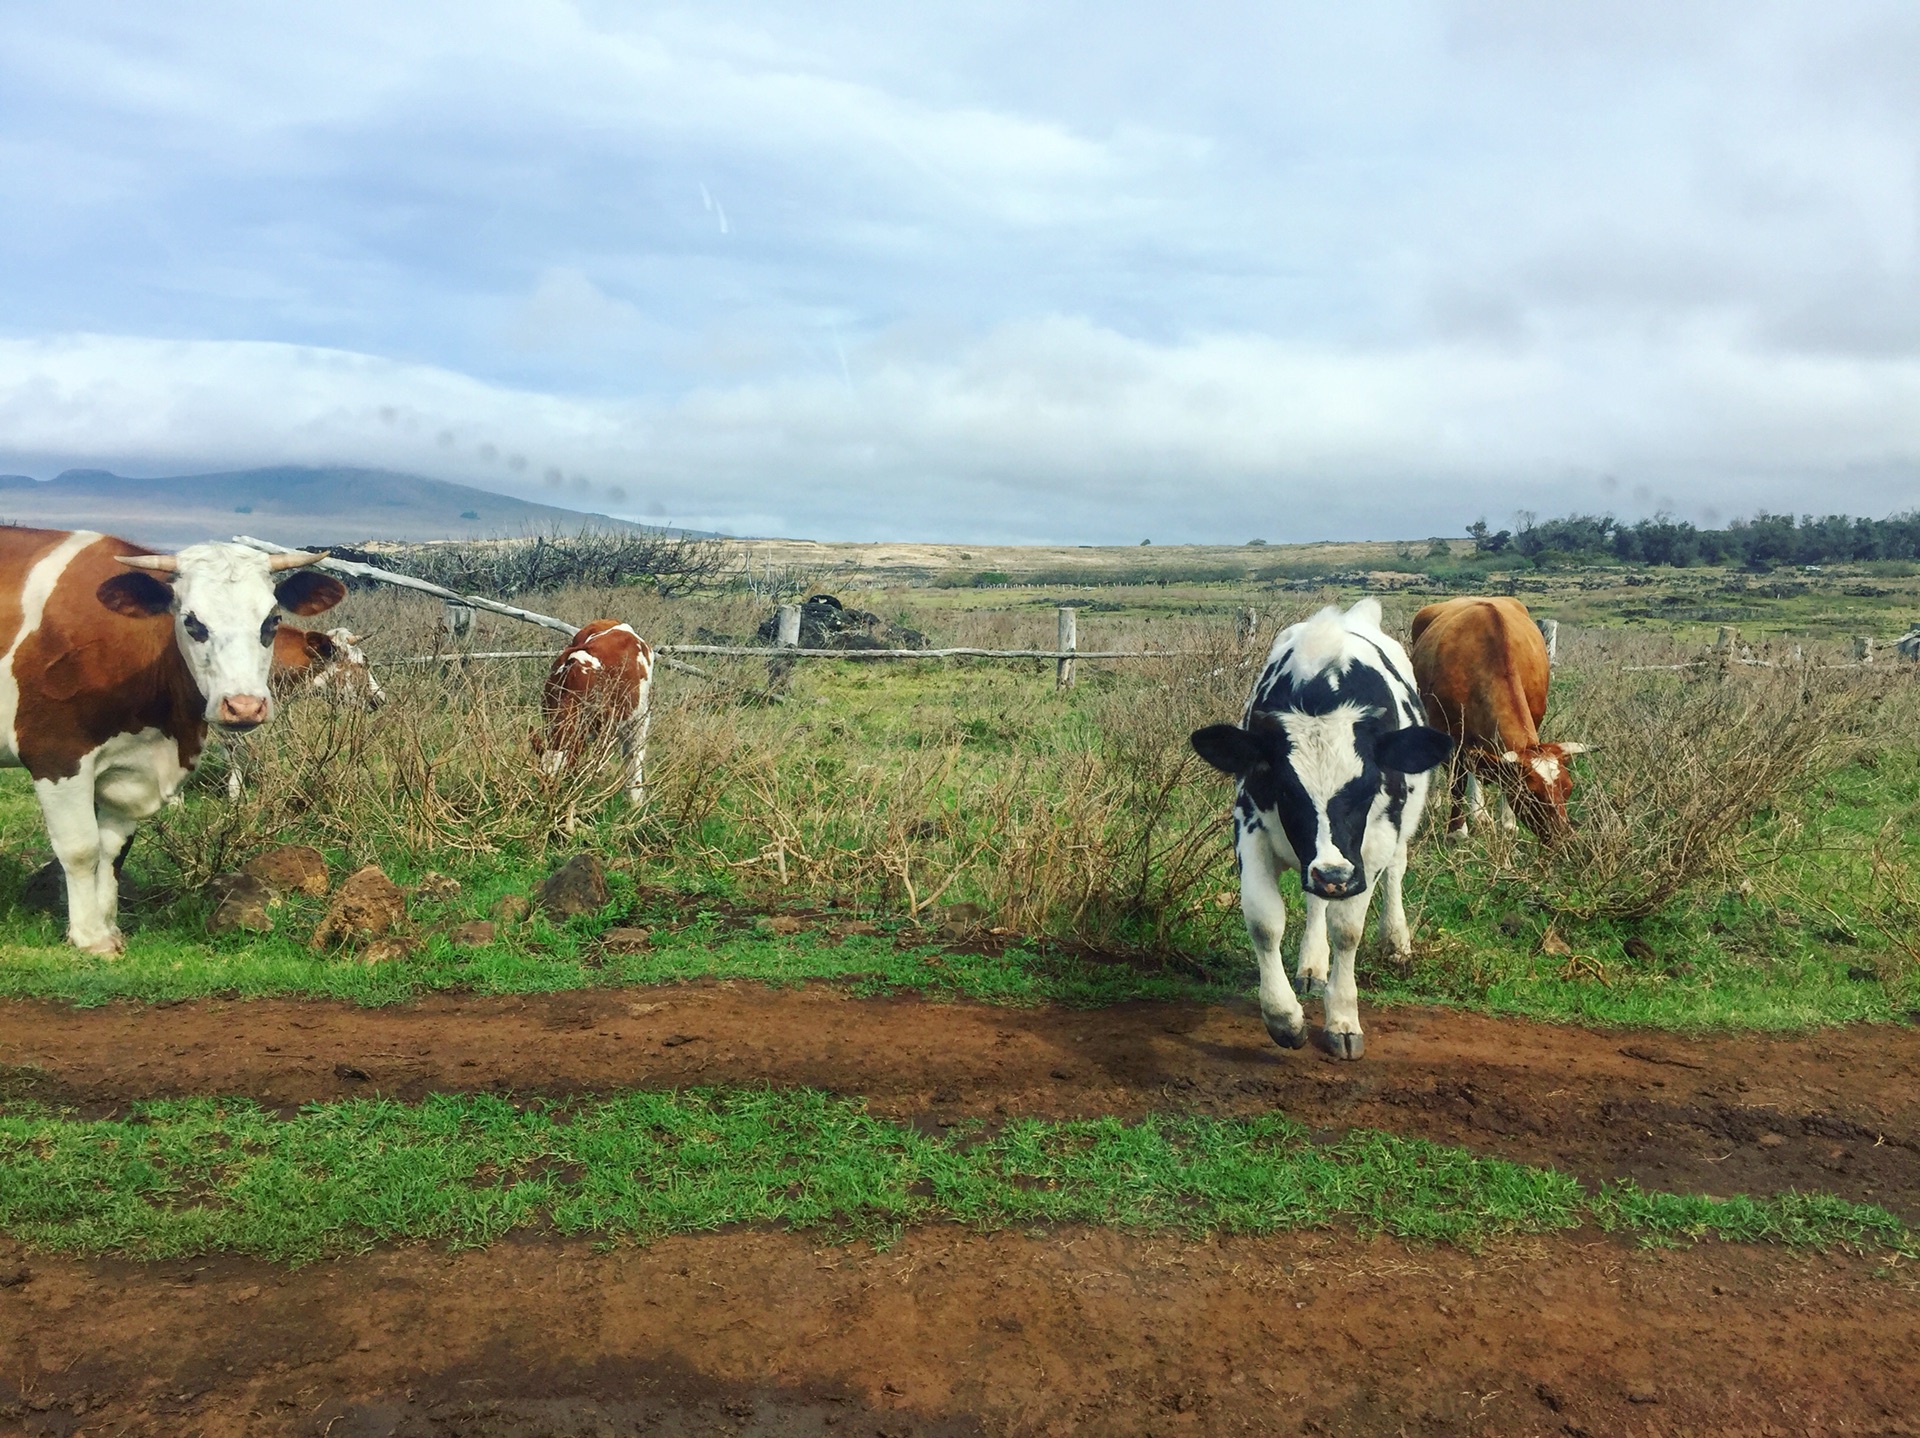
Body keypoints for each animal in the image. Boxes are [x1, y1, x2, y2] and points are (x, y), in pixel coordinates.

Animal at [0, 526, 343, 952]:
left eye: (273, 620)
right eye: (192, 622)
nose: (244, 707)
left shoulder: (131, 769)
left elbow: (113, 849)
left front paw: (109, 926)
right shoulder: (56, 754)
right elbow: (81, 848)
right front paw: (91, 936)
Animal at [537, 618, 656, 806]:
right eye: (539, 779)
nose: (545, 803)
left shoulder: (604, 731)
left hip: (640, 716)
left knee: (634, 754)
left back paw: (635, 798)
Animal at [1182, 595, 1451, 1052]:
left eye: (1367, 787)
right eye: (1286, 790)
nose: (1333, 875)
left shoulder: (1371, 847)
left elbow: (1348, 929)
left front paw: (1343, 1018)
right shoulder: (1250, 823)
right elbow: (1264, 919)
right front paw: (1283, 1017)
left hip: (1396, 833)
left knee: (1395, 871)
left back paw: (1396, 940)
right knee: (1315, 902)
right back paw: (1312, 964)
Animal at [1413, 595, 1589, 840]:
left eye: (1568, 788)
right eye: (1531, 793)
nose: (1562, 836)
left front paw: (1507, 823)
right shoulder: (1449, 731)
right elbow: (1457, 780)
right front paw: (1456, 830)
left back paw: (1480, 814)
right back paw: (1437, 800)